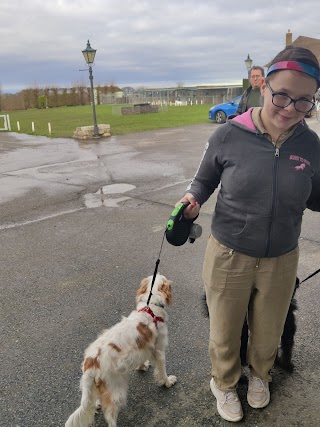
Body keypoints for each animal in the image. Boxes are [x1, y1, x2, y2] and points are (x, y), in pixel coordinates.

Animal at [64, 274, 175, 427]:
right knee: (110, 415)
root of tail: (91, 362)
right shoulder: (159, 351)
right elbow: (162, 371)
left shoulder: (143, 349)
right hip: (116, 389)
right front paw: (168, 382)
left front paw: (142, 366)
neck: (151, 308)